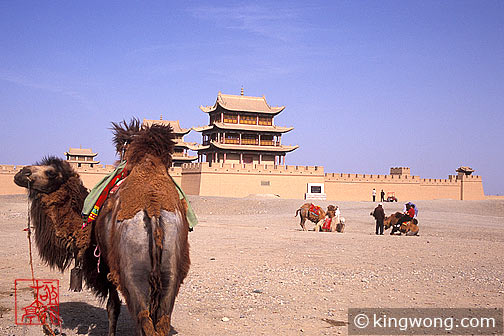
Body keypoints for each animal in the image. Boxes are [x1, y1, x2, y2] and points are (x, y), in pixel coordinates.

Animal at [14, 121, 191, 336]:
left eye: (51, 172)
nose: (21, 173)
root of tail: (154, 209)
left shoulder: (106, 265)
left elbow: (112, 307)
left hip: (133, 272)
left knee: (144, 321)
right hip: (171, 269)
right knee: (162, 318)